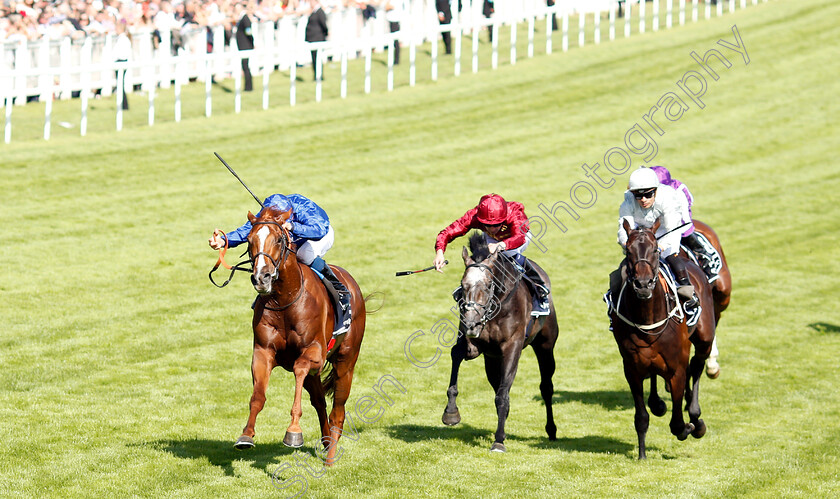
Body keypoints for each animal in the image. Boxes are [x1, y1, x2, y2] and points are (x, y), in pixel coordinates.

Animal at [236, 206, 368, 464]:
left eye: (278, 239)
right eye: (249, 240)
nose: (261, 277)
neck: (285, 300)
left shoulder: (314, 353)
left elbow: (299, 368)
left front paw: (294, 432)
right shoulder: (263, 351)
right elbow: (258, 396)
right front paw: (246, 435)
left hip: (346, 361)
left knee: (338, 410)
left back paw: (330, 458)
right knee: (320, 401)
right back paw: (326, 443)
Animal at [440, 233, 556, 454]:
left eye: (487, 285)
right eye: (463, 284)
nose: (471, 323)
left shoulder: (512, 346)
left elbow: (503, 395)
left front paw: (499, 440)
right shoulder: (475, 344)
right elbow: (456, 353)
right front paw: (451, 412)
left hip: (545, 346)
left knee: (546, 386)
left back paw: (551, 430)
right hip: (492, 358)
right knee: (497, 384)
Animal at [612, 222, 716, 460]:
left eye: (655, 250)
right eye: (628, 251)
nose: (642, 284)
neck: (648, 318)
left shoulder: (676, 368)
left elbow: (677, 423)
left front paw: (691, 426)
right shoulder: (632, 369)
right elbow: (641, 417)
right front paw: (642, 455)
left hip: (705, 338)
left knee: (697, 366)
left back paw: (695, 415)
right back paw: (658, 403)